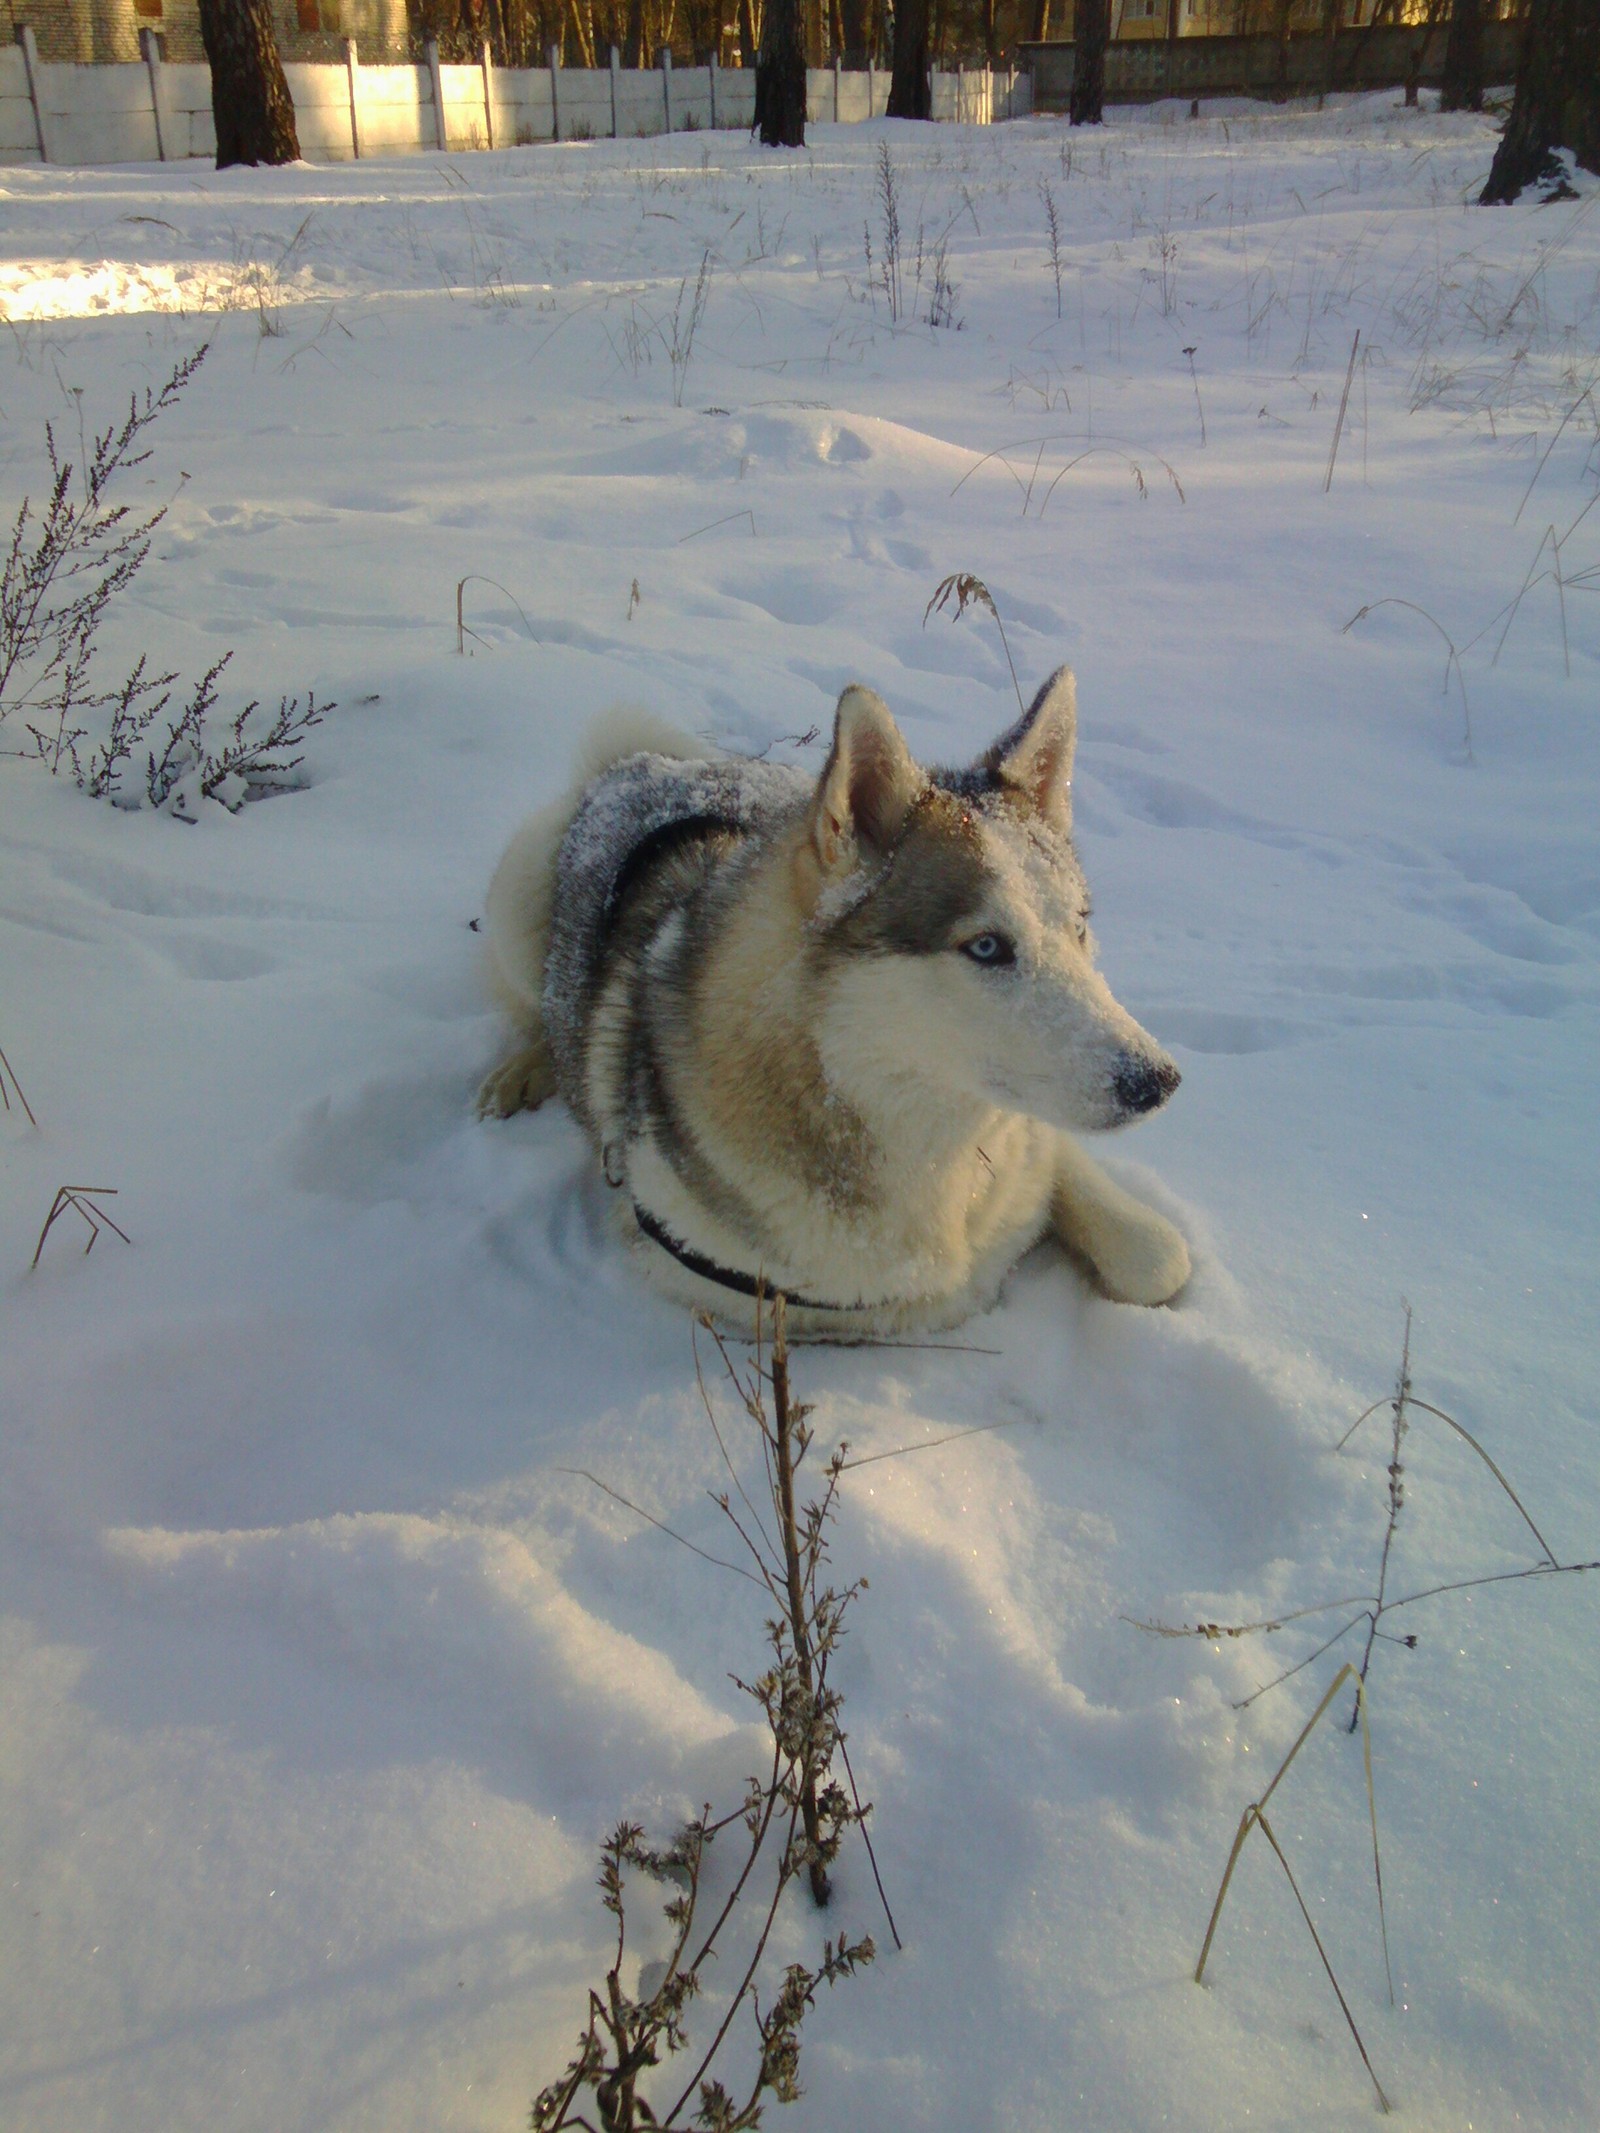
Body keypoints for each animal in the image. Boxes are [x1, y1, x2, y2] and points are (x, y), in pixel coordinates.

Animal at [475, 665, 1194, 1330]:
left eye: (1079, 927)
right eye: (987, 947)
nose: (1157, 1081)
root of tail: (640, 764)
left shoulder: (1034, 1145)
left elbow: (1160, 1257)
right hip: (518, 888)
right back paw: (521, 1070)